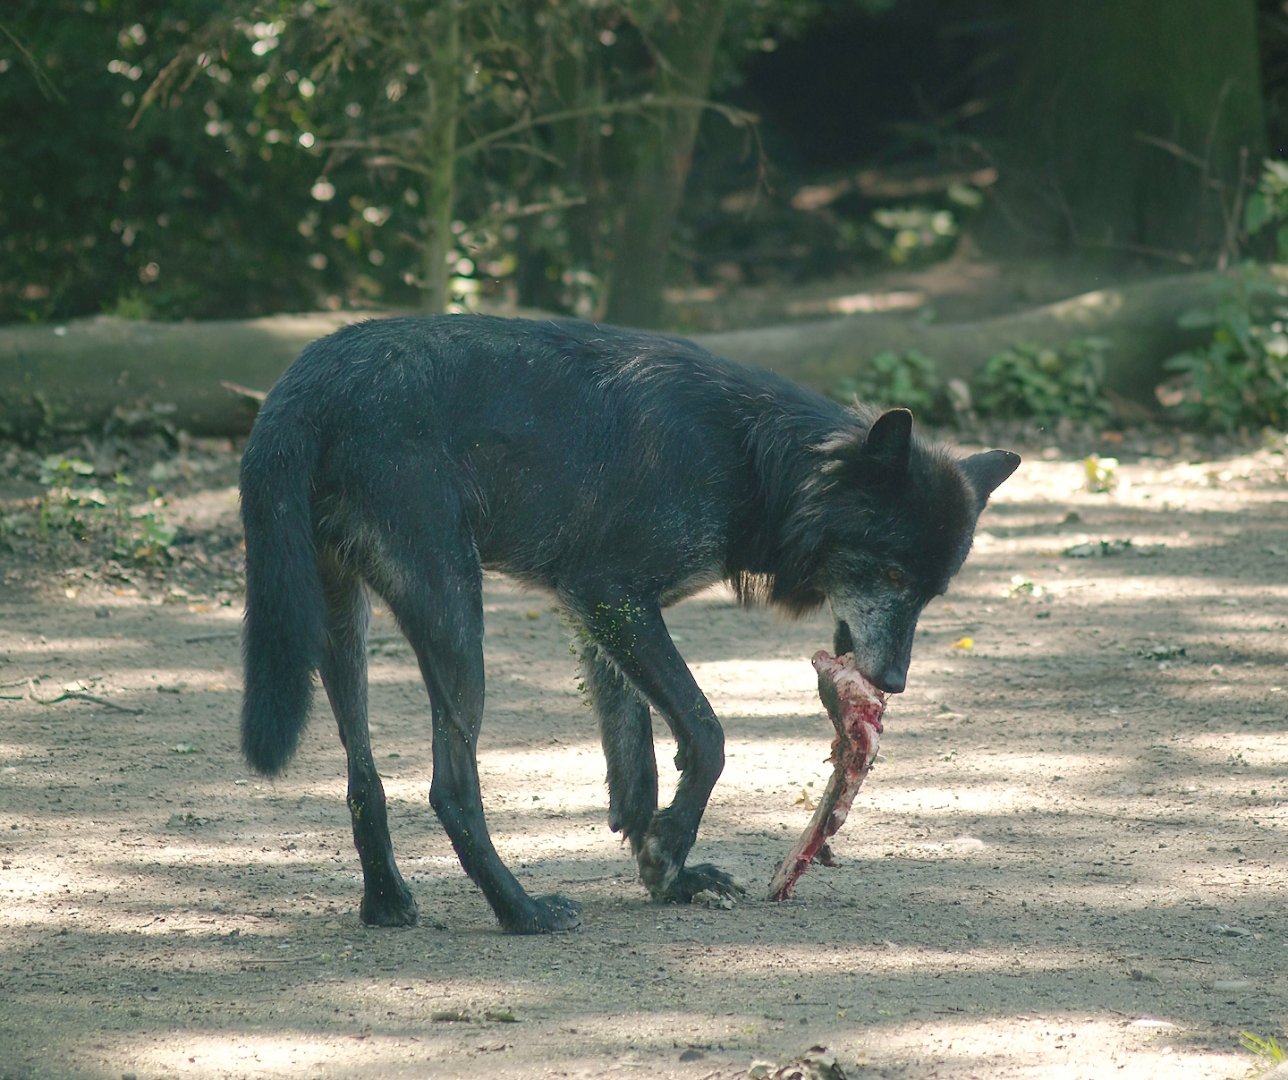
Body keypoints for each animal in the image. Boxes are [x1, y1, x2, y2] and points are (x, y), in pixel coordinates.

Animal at [238, 314, 1019, 933]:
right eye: (893, 577)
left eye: (932, 594)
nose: (895, 680)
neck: (753, 458)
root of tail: (304, 382)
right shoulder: (613, 597)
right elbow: (706, 733)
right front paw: (670, 845)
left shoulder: (595, 615)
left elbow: (634, 747)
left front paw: (663, 865)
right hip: (456, 615)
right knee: (449, 789)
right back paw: (522, 913)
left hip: (341, 625)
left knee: (363, 779)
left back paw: (386, 902)